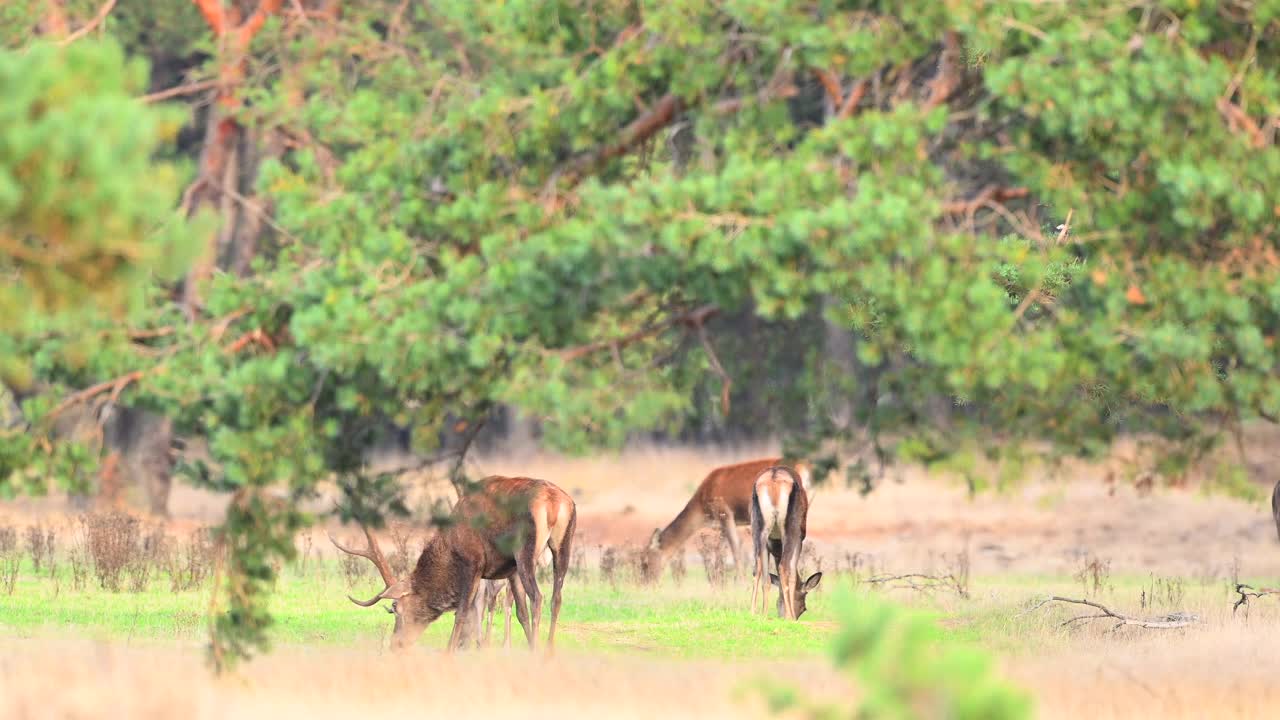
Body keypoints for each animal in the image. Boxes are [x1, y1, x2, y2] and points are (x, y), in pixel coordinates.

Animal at [330, 476, 576, 650]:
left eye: (396, 609)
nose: (396, 644)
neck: (450, 547)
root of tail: (555, 503)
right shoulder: (510, 569)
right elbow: (520, 613)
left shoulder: (473, 562)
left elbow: (463, 611)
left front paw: (450, 651)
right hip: (562, 547)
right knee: (556, 597)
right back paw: (548, 651)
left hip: (525, 549)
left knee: (538, 597)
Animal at [640, 453, 808, 584]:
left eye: (645, 562)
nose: (645, 583)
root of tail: (803, 468)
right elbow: (722, 550)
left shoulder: (725, 512)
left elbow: (735, 548)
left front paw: (740, 582)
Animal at [747, 466, 819, 617]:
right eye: (804, 608)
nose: (795, 615)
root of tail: (773, 480)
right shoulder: (799, 540)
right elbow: (791, 573)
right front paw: (788, 615)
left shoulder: (769, 543)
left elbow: (766, 576)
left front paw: (764, 614)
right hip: (789, 531)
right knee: (784, 566)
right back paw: (788, 616)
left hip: (758, 530)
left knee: (758, 570)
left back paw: (754, 613)